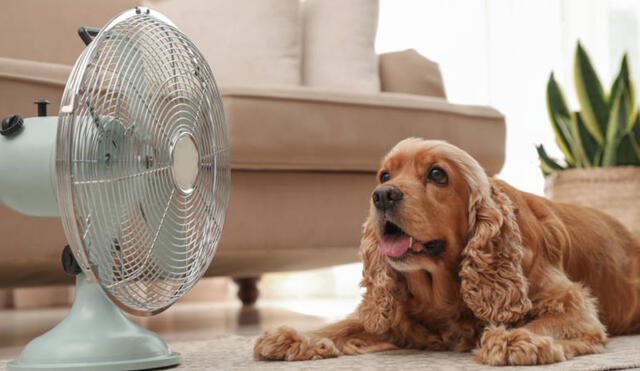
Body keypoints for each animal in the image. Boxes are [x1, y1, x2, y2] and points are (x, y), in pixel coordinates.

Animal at [252, 138, 636, 364]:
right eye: (384, 176)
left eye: (438, 175)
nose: (382, 196)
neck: (442, 289)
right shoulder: (394, 315)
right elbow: (344, 325)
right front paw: (297, 336)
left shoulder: (571, 302)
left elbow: (551, 321)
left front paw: (515, 339)